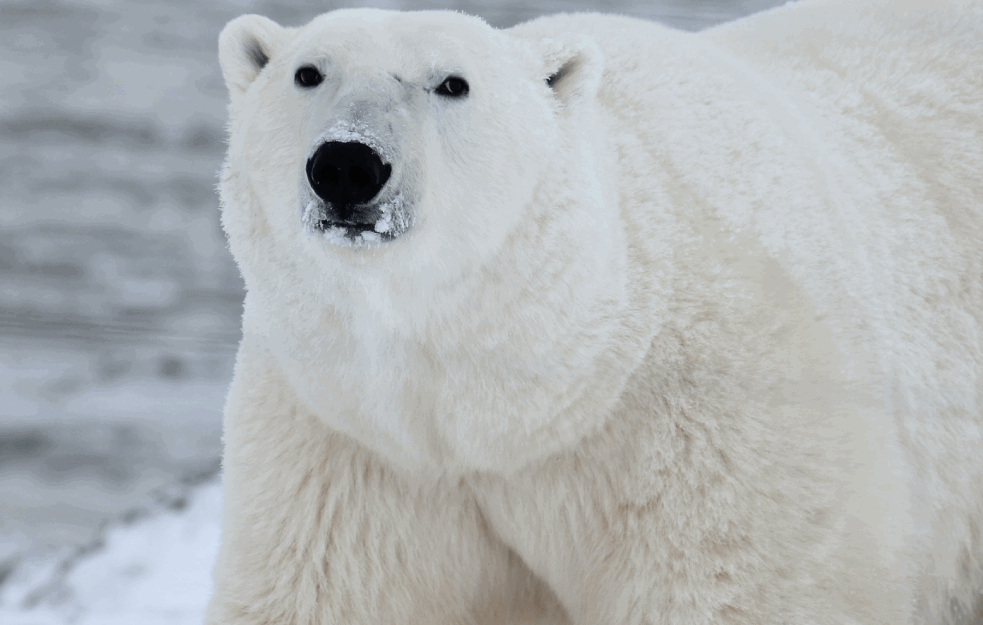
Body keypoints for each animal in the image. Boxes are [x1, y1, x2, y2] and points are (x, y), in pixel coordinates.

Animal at [209, 1, 983, 620]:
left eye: (452, 82)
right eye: (308, 72)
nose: (347, 164)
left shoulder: (713, 432)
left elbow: (732, 589)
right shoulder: (350, 443)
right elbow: (323, 590)